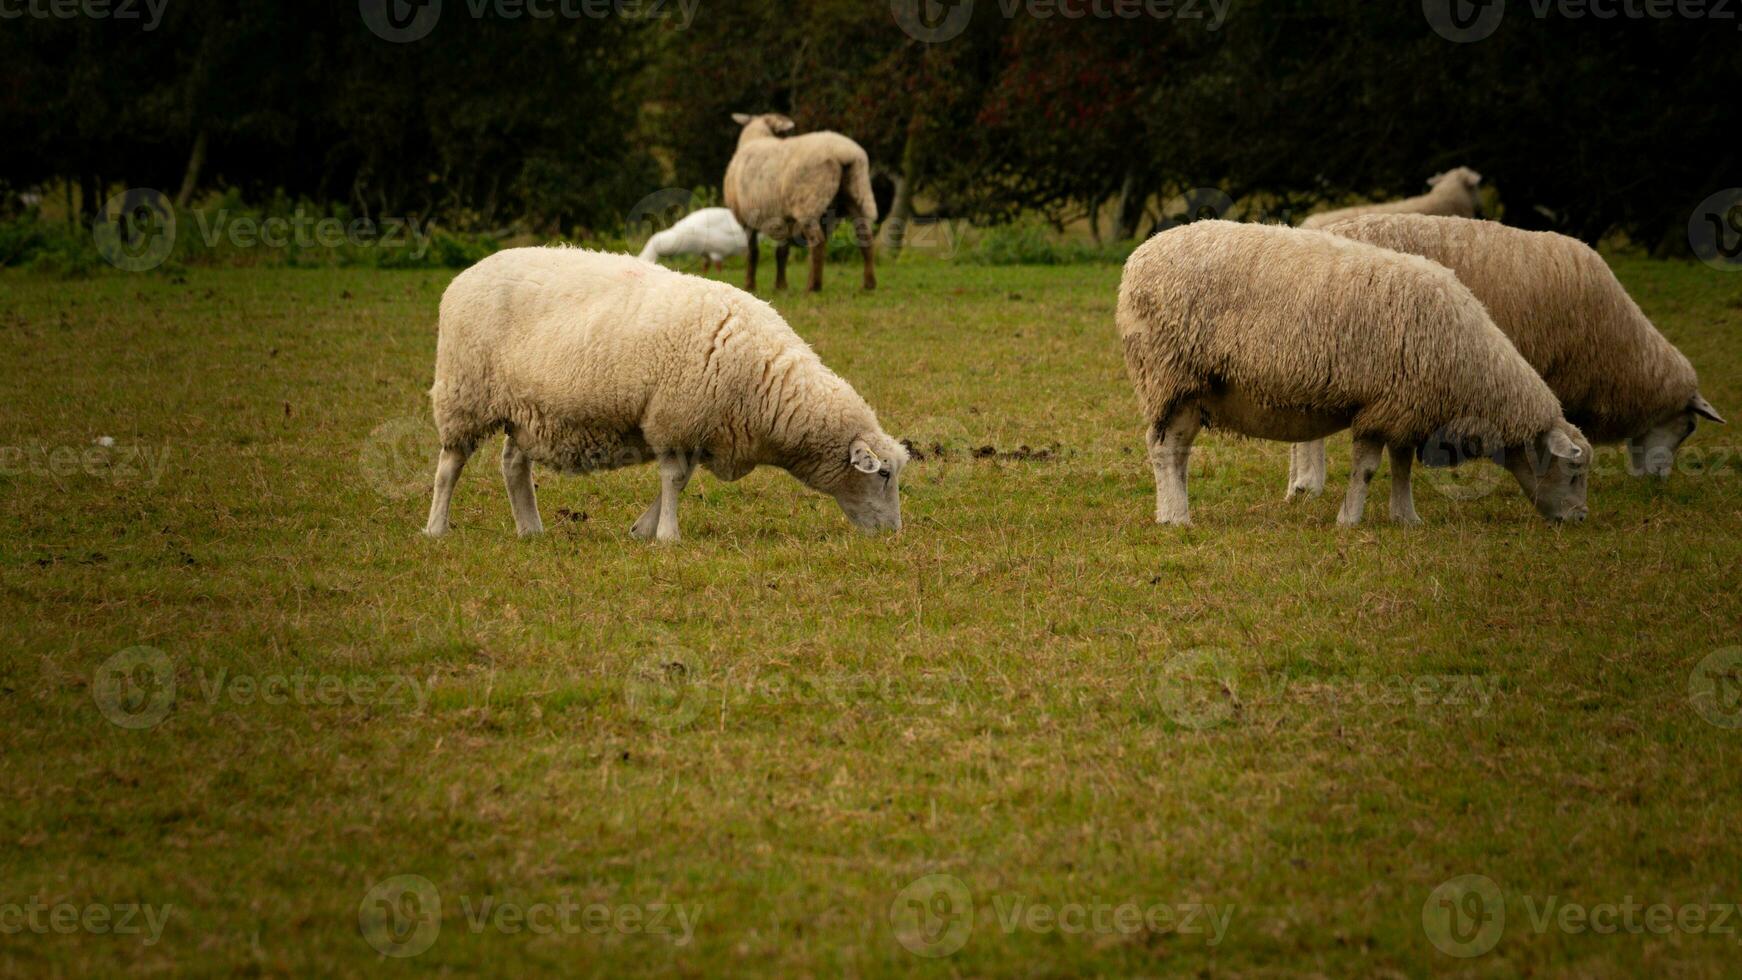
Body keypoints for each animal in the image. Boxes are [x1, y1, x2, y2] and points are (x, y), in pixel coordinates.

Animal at [425, 247, 912, 543]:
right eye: (884, 474)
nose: (894, 534)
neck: (768, 384)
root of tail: (464, 275)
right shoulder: (676, 417)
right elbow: (675, 479)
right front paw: (667, 536)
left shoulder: (695, 426)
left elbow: (678, 479)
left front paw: (644, 529)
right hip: (464, 392)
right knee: (450, 465)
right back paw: (436, 527)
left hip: (528, 409)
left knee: (513, 465)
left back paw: (530, 529)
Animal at [724, 112, 877, 294]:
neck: (756, 137)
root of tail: (845, 153)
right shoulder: (783, 217)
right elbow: (781, 252)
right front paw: (781, 286)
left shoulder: (746, 218)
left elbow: (753, 253)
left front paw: (749, 285)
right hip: (857, 193)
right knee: (864, 238)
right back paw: (868, 284)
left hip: (809, 203)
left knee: (817, 243)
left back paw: (813, 286)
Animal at [1114, 222, 1595, 529]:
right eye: (1573, 472)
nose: (1580, 518)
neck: (1478, 374)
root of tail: (1140, 256)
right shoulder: (1384, 406)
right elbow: (1366, 469)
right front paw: (1350, 520)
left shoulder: (1408, 407)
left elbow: (1401, 467)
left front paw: (1406, 518)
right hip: (1171, 376)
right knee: (1164, 450)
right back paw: (1177, 518)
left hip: (1193, 390)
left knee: (1176, 452)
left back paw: (1169, 511)